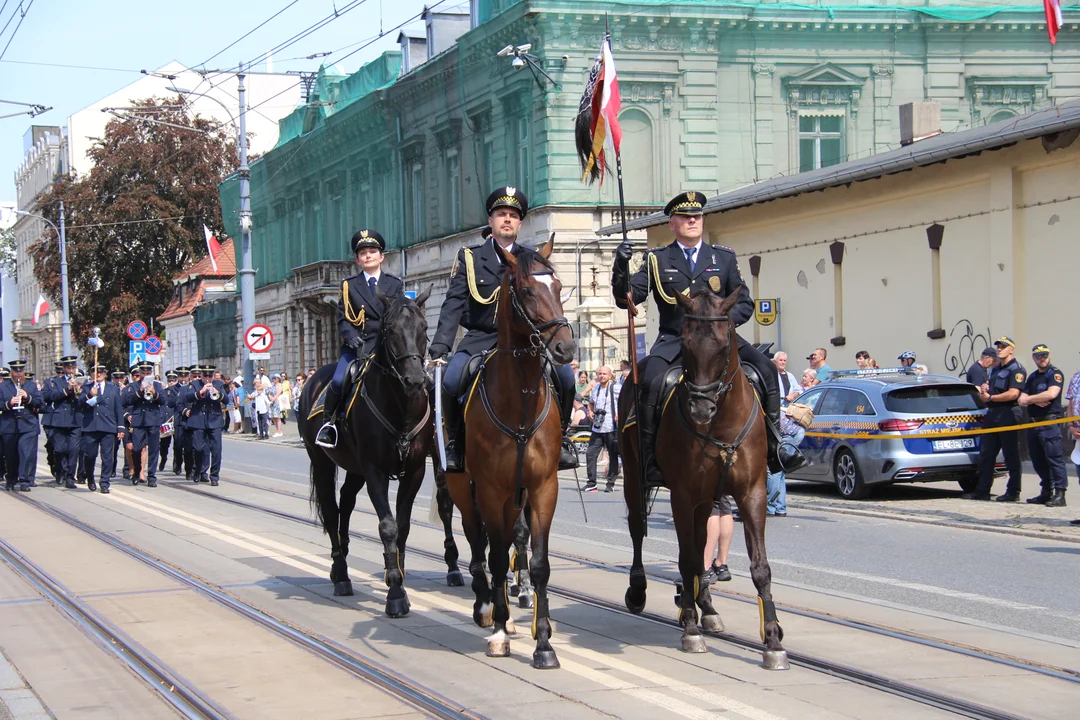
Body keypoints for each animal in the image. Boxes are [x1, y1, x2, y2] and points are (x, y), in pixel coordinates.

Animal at [300, 289, 464, 617]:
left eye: (423, 328)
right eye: (390, 331)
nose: (415, 380)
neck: (400, 406)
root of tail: (314, 379)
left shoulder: (416, 469)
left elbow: (404, 525)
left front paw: (398, 576)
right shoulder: (375, 469)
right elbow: (387, 526)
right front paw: (396, 594)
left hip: (355, 468)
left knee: (347, 503)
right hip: (322, 461)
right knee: (331, 509)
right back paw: (341, 574)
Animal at [440, 239, 574, 669]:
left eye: (559, 286)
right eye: (528, 291)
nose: (565, 347)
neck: (521, 400)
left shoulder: (543, 488)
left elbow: (539, 562)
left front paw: (544, 644)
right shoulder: (490, 490)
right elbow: (496, 556)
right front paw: (499, 631)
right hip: (463, 490)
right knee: (476, 542)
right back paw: (486, 607)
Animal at [622, 287, 790, 669]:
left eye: (724, 341)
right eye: (684, 341)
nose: (700, 408)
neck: (721, 423)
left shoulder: (751, 494)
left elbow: (759, 566)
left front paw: (773, 640)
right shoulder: (682, 495)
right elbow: (685, 560)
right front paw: (689, 629)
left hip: (706, 499)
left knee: (700, 545)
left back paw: (707, 607)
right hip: (633, 477)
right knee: (638, 528)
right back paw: (641, 590)